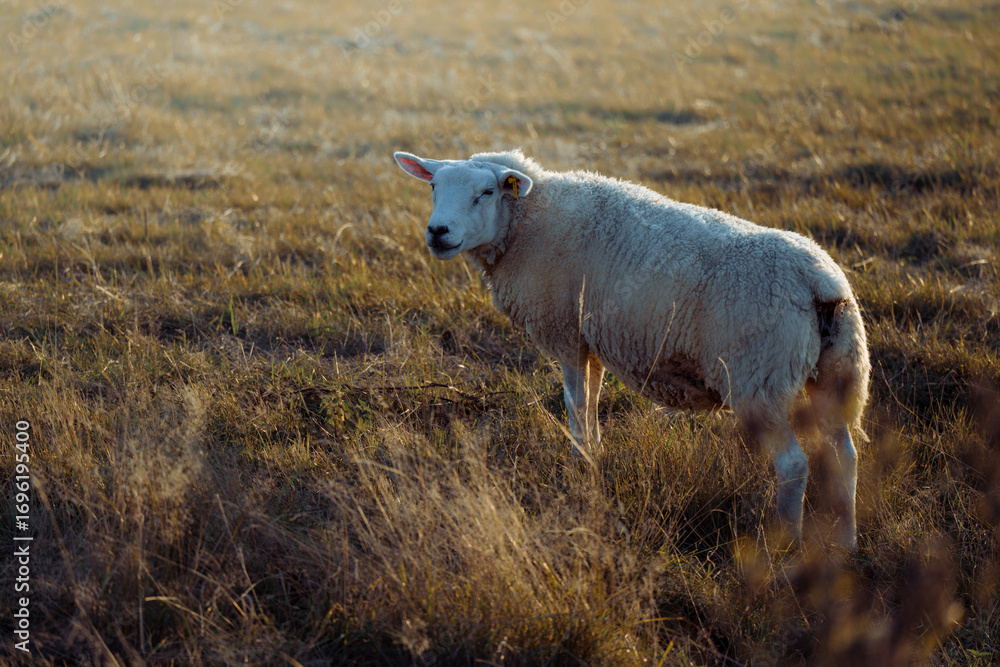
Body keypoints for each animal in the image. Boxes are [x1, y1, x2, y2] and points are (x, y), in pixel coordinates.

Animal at [393, 148, 870, 548]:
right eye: (434, 187)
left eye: (487, 192)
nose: (438, 232)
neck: (528, 221)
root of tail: (818, 281)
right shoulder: (591, 337)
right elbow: (592, 399)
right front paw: (595, 456)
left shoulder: (565, 332)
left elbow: (574, 403)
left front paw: (580, 464)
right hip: (836, 372)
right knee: (844, 455)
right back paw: (845, 544)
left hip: (759, 379)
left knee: (793, 465)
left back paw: (785, 547)